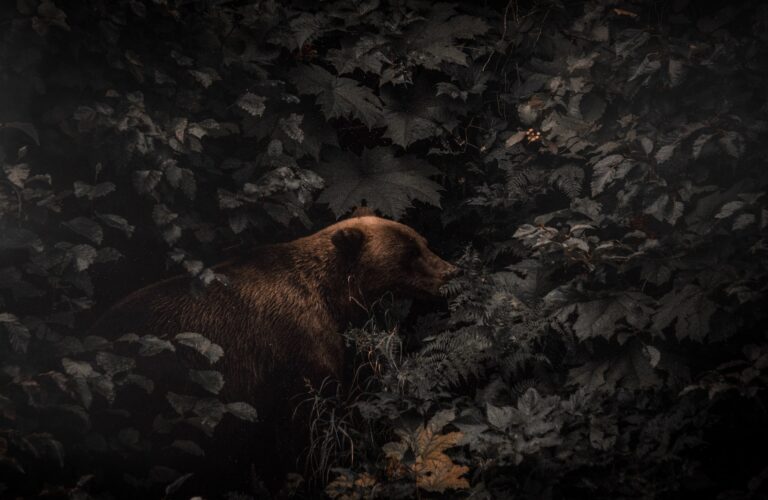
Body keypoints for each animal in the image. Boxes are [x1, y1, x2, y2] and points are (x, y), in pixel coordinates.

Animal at [88, 212, 458, 494]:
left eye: (423, 242)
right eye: (411, 253)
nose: (451, 272)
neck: (333, 296)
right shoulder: (295, 349)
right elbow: (312, 425)